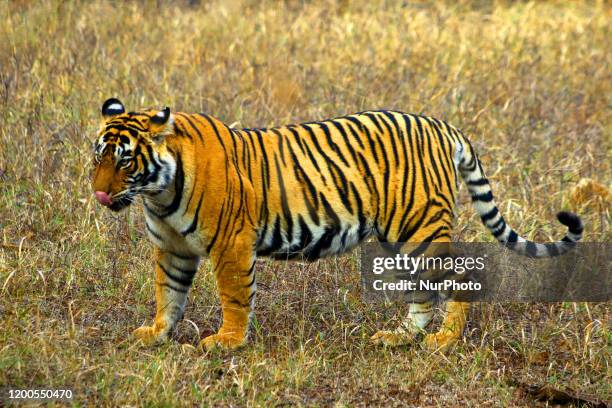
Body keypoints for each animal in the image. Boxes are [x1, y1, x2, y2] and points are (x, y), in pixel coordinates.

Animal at [92, 97, 584, 350]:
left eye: (125, 160)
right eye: (98, 157)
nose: (98, 193)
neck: (158, 192)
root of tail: (442, 126)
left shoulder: (231, 245)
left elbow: (233, 296)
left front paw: (227, 341)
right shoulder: (172, 248)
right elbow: (168, 295)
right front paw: (156, 334)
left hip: (421, 230)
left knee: (460, 274)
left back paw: (443, 340)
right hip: (399, 240)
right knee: (422, 290)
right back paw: (400, 336)